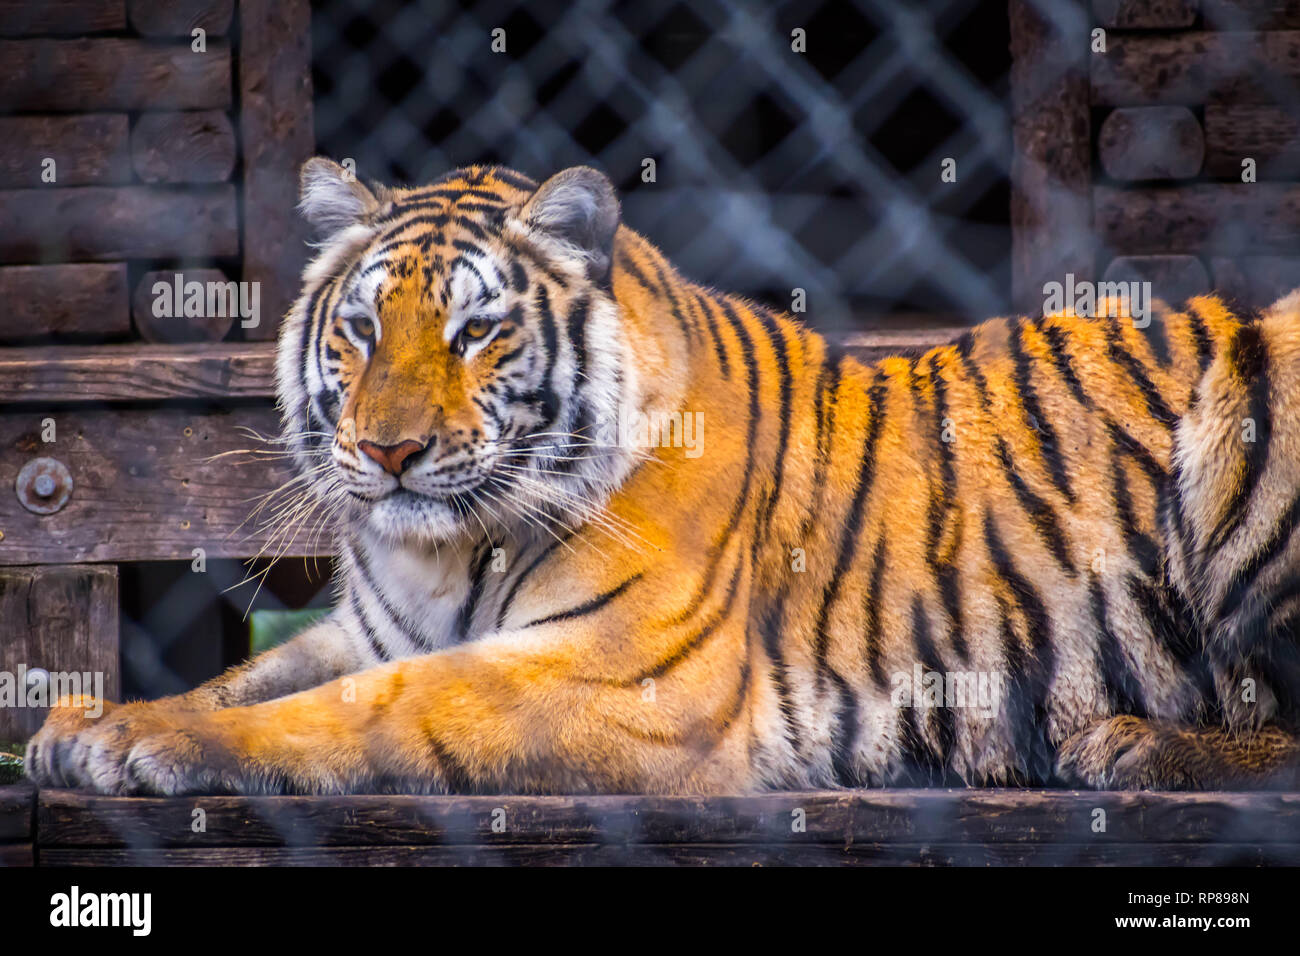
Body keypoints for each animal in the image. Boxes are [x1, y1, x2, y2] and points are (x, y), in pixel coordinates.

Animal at [22, 160, 1300, 796]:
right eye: (362, 330)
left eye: (475, 333)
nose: (386, 452)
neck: (442, 549)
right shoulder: (368, 627)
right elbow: (252, 679)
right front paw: (95, 723)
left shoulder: (626, 674)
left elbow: (365, 707)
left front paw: (146, 750)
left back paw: (1130, 746)